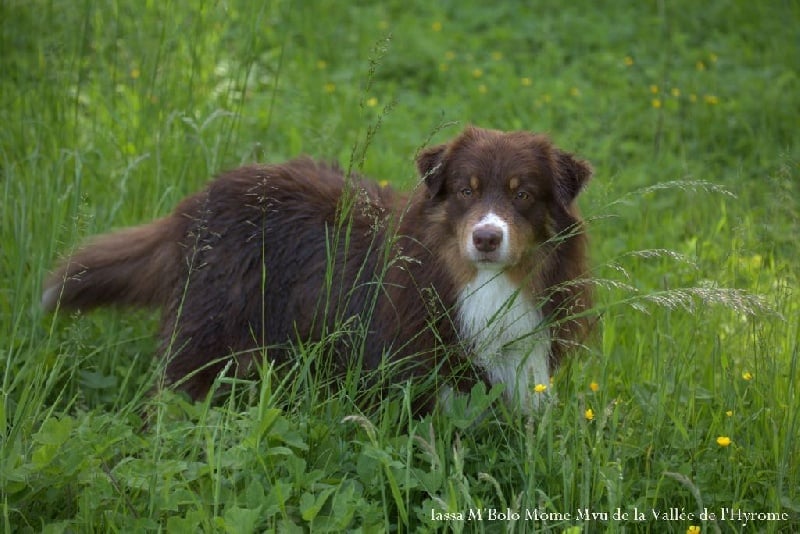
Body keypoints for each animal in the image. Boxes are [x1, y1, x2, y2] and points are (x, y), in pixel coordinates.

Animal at [42, 126, 593, 414]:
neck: (476, 283)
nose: (486, 238)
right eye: (465, 190)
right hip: (210, 331)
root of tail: (195, 203)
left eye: (524, 195)